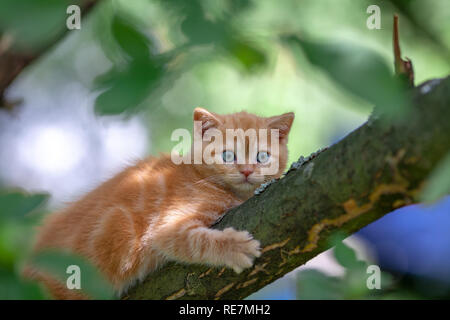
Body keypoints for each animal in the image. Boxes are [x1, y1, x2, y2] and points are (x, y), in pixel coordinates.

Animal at [23, 107, 296, 298]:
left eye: (262, 156)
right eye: (228, 155)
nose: (247, 171)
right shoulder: (165, 226)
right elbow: (194, 240)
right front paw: (235, 246)